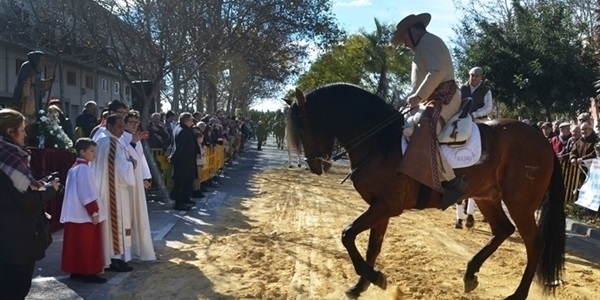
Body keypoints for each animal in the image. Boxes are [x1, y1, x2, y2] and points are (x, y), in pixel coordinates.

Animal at [288, 82, 564, 300]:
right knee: (503, 230)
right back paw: (470, 274)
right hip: (488, 197)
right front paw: (360, 286)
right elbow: (372, 247)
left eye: (304, 128)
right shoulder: (380, 207)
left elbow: (347, 235)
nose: (315, 165)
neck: (381, 141)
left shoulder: (386, 206)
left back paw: (517, 294)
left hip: (520, 204)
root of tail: (542, 139)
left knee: (534, 243)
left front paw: (375, 278)